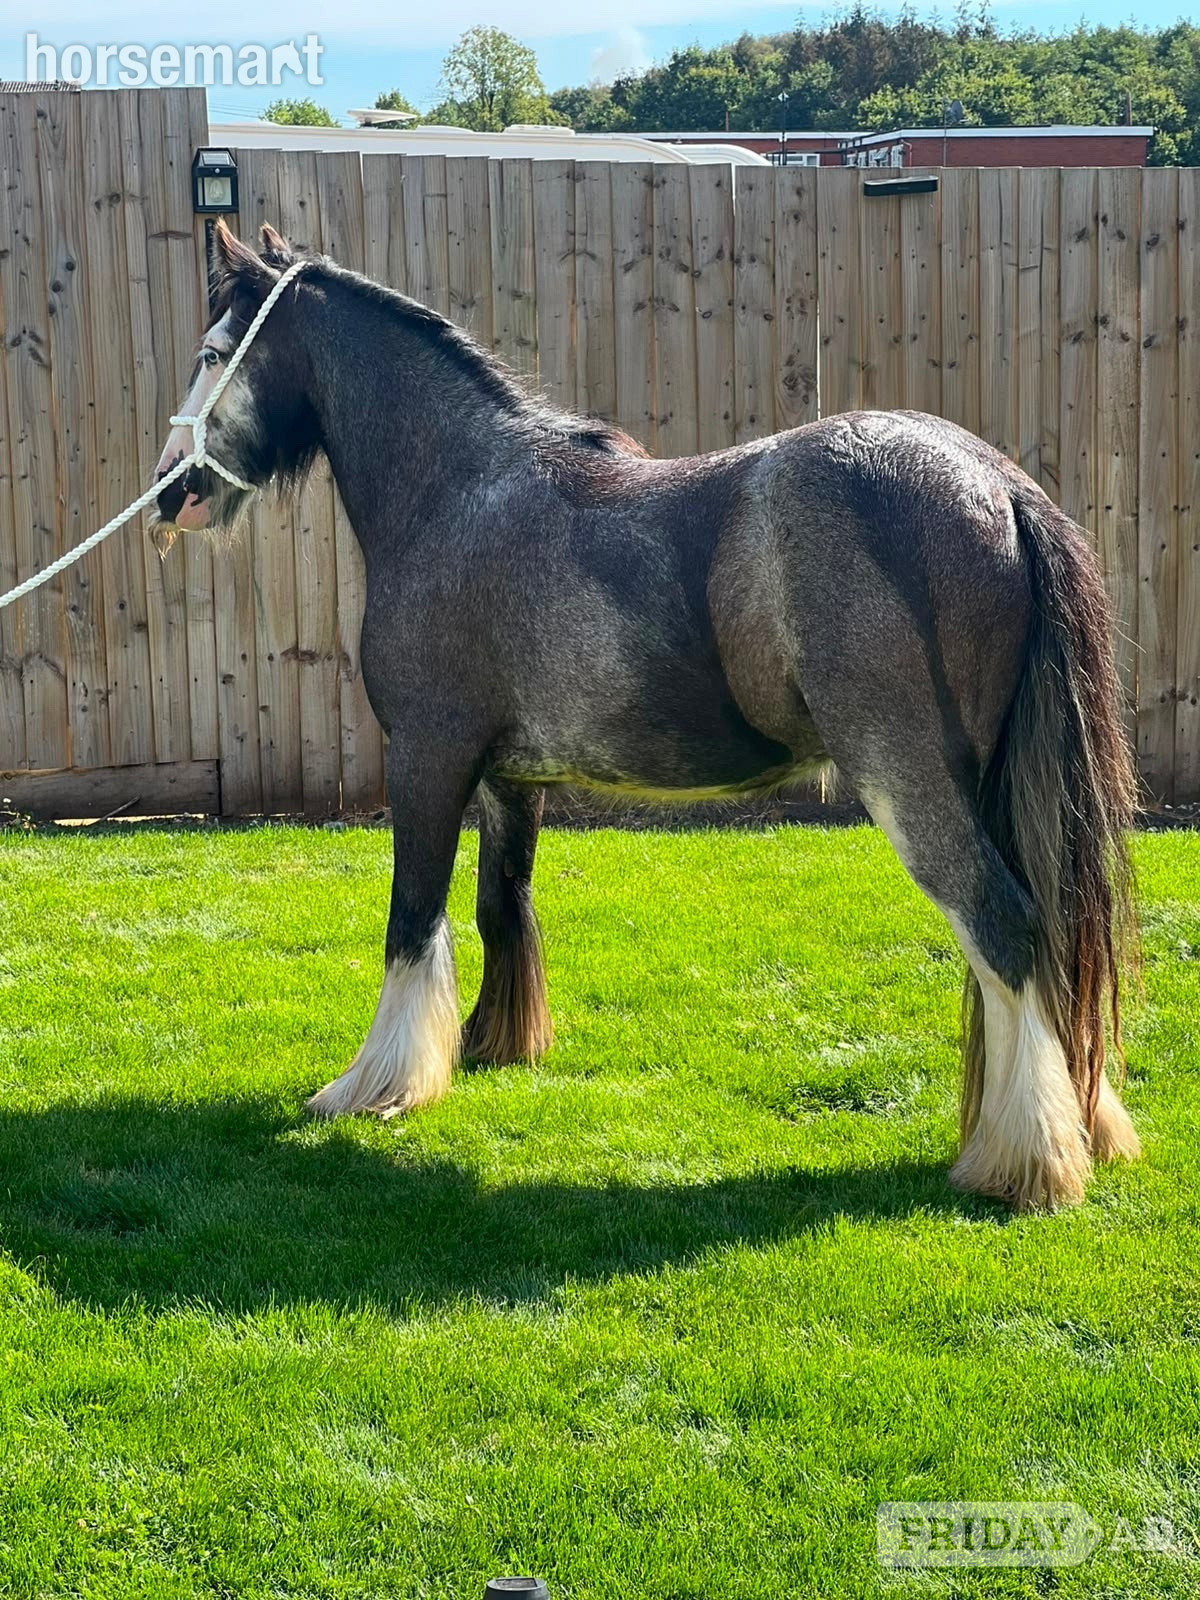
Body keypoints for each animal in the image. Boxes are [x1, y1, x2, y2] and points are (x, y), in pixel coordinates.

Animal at [153, 219, 1141, 1212]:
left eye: (212, 353)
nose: (169, 492)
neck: (461, 491)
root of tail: (999, 484)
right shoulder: (511, 780)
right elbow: (498, 904)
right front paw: (492, 1047)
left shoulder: (428, 761)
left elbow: (412, 921)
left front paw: (375, 1086)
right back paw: (1076, 1127)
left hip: (912, 784)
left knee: (1004, 930)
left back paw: (1025, 1161)